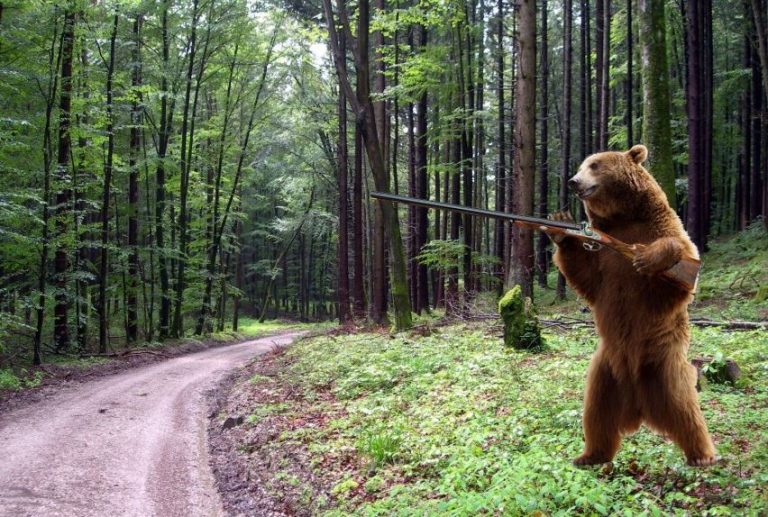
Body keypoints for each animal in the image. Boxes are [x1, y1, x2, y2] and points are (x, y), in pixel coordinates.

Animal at [552, 144, 716, 467]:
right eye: (582, 165)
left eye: (595, 165)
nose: (573, 181)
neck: (622, 219)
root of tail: (638, 404)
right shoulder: (603, 260)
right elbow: (585, 275)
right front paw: (560, 230)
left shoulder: (660, 227)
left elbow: (683, 253)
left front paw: (647, 258)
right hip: (604, 371)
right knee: (596, 413)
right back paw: (590, 455)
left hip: (664, 361)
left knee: (686, 409)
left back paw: (702, 455)